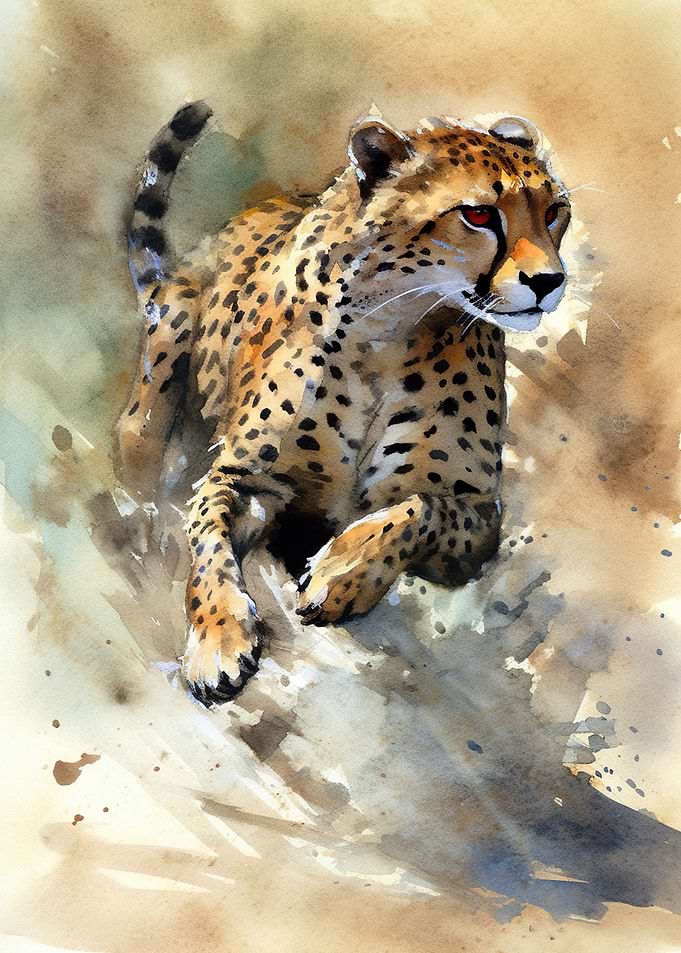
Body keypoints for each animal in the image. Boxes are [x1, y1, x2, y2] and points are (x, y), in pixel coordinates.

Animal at [115, 100, 571, 706]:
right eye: (478, 214)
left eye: (556, 212)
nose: (550, 281)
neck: (389, 327)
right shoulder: (243, 476)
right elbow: (209, 548)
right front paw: (218, 641)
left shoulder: (477, 516)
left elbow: (419, 508)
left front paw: (340, 576)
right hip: (161, 368)